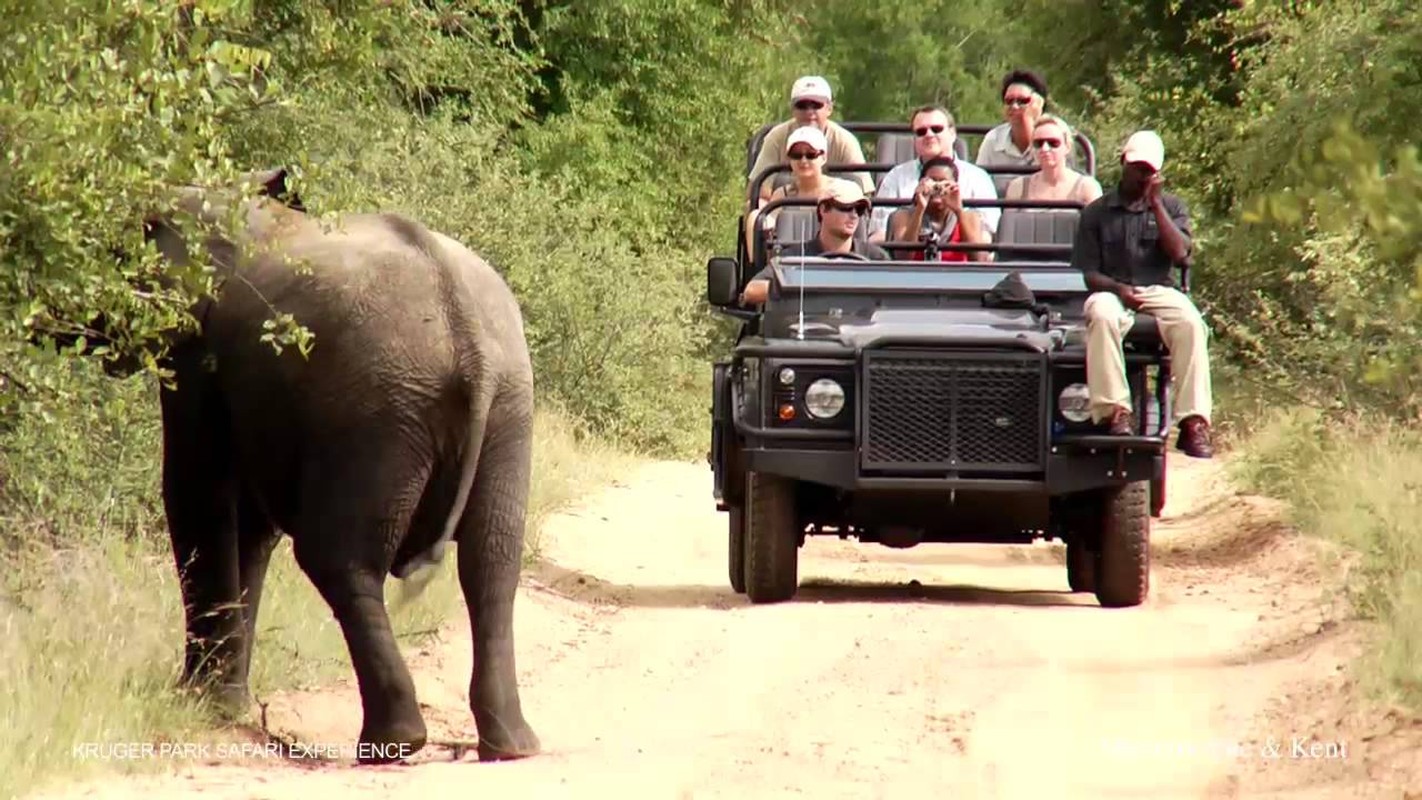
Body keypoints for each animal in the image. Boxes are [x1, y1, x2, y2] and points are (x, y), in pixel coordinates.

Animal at [118, 169, 537, 761]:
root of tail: (469, 341)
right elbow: (251, 529)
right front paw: (225, 704)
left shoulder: (200, 358)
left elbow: (195, 497)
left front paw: (200, 705)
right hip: (508, 408)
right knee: (493, 564)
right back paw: (511, 747)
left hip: (375, 413)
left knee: (338, 561)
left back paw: (395, 743)